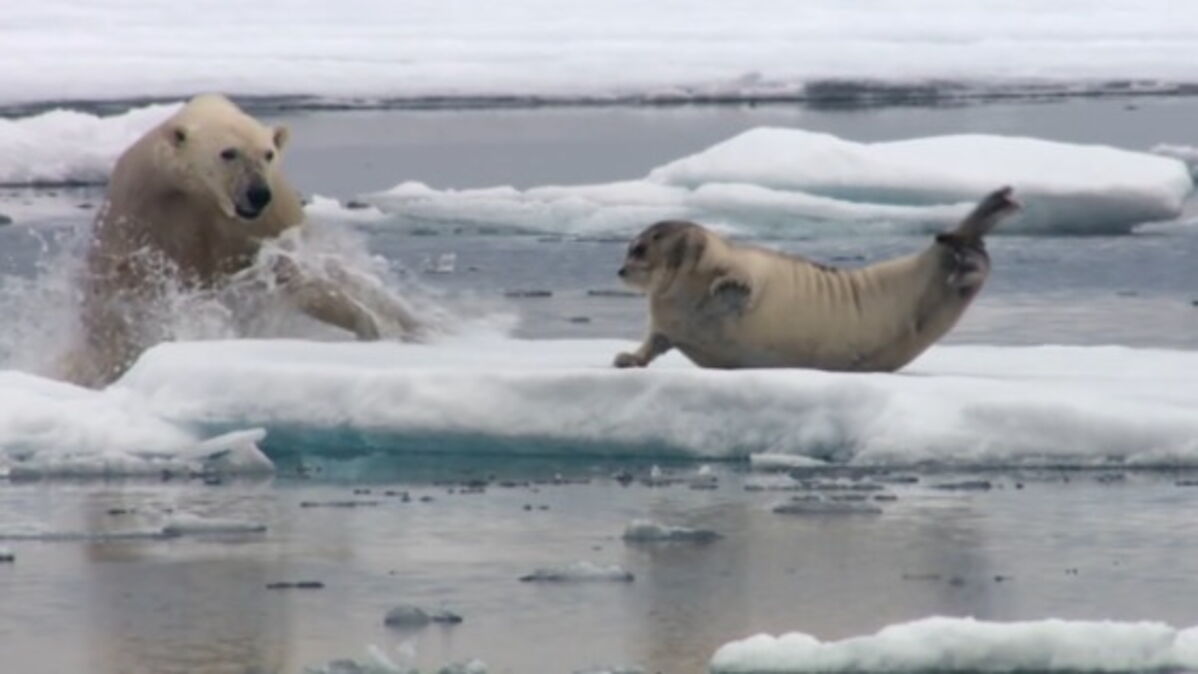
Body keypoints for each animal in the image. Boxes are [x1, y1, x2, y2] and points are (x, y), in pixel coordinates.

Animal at [60, 94, 419, 387]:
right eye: (228, 153)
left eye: (268, 154)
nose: (257, 193)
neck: (203, 200)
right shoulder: (141, 210)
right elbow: (122, 293)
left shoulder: (268, 222)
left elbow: (298, 277)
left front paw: (367, 327)